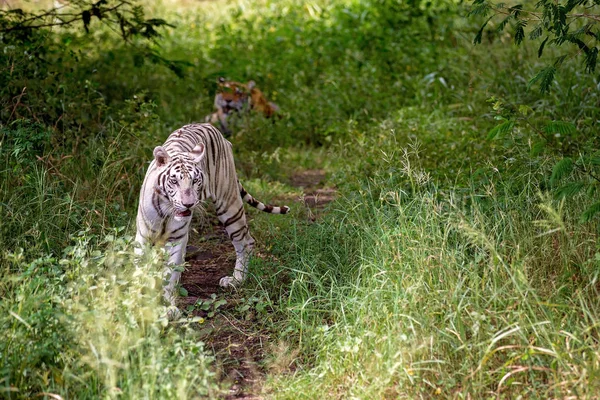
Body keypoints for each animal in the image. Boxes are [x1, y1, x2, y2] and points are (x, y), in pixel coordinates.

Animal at [135, 122, 290, 312]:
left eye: (195, 180)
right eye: (174, 181)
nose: (189, 204)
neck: (167, 209)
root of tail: (210, 126)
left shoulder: (176, 238)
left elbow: (169, 273)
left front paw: (167, 307)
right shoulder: (143, 236)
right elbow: (140, 271)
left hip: (229, 205)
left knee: (246, 241)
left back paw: (236, 280)